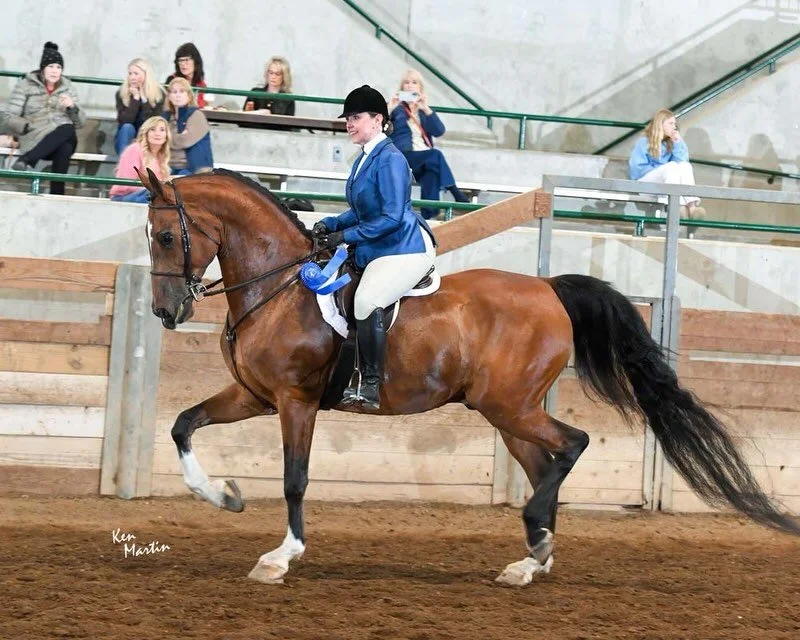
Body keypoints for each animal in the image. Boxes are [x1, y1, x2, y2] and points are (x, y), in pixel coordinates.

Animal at [139, 167, 799, 586]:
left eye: (168, 235)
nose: (166, 313)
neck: (278, 287)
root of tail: (549, 289)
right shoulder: (254, 394)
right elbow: (182, 425)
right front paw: (223, 496)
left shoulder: (294, 400)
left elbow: (295, 480)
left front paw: (282, 556)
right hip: (506, 412)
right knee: (544, 465)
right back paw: (532, 558)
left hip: (511, 407)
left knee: (573, 445)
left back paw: (535, 538)